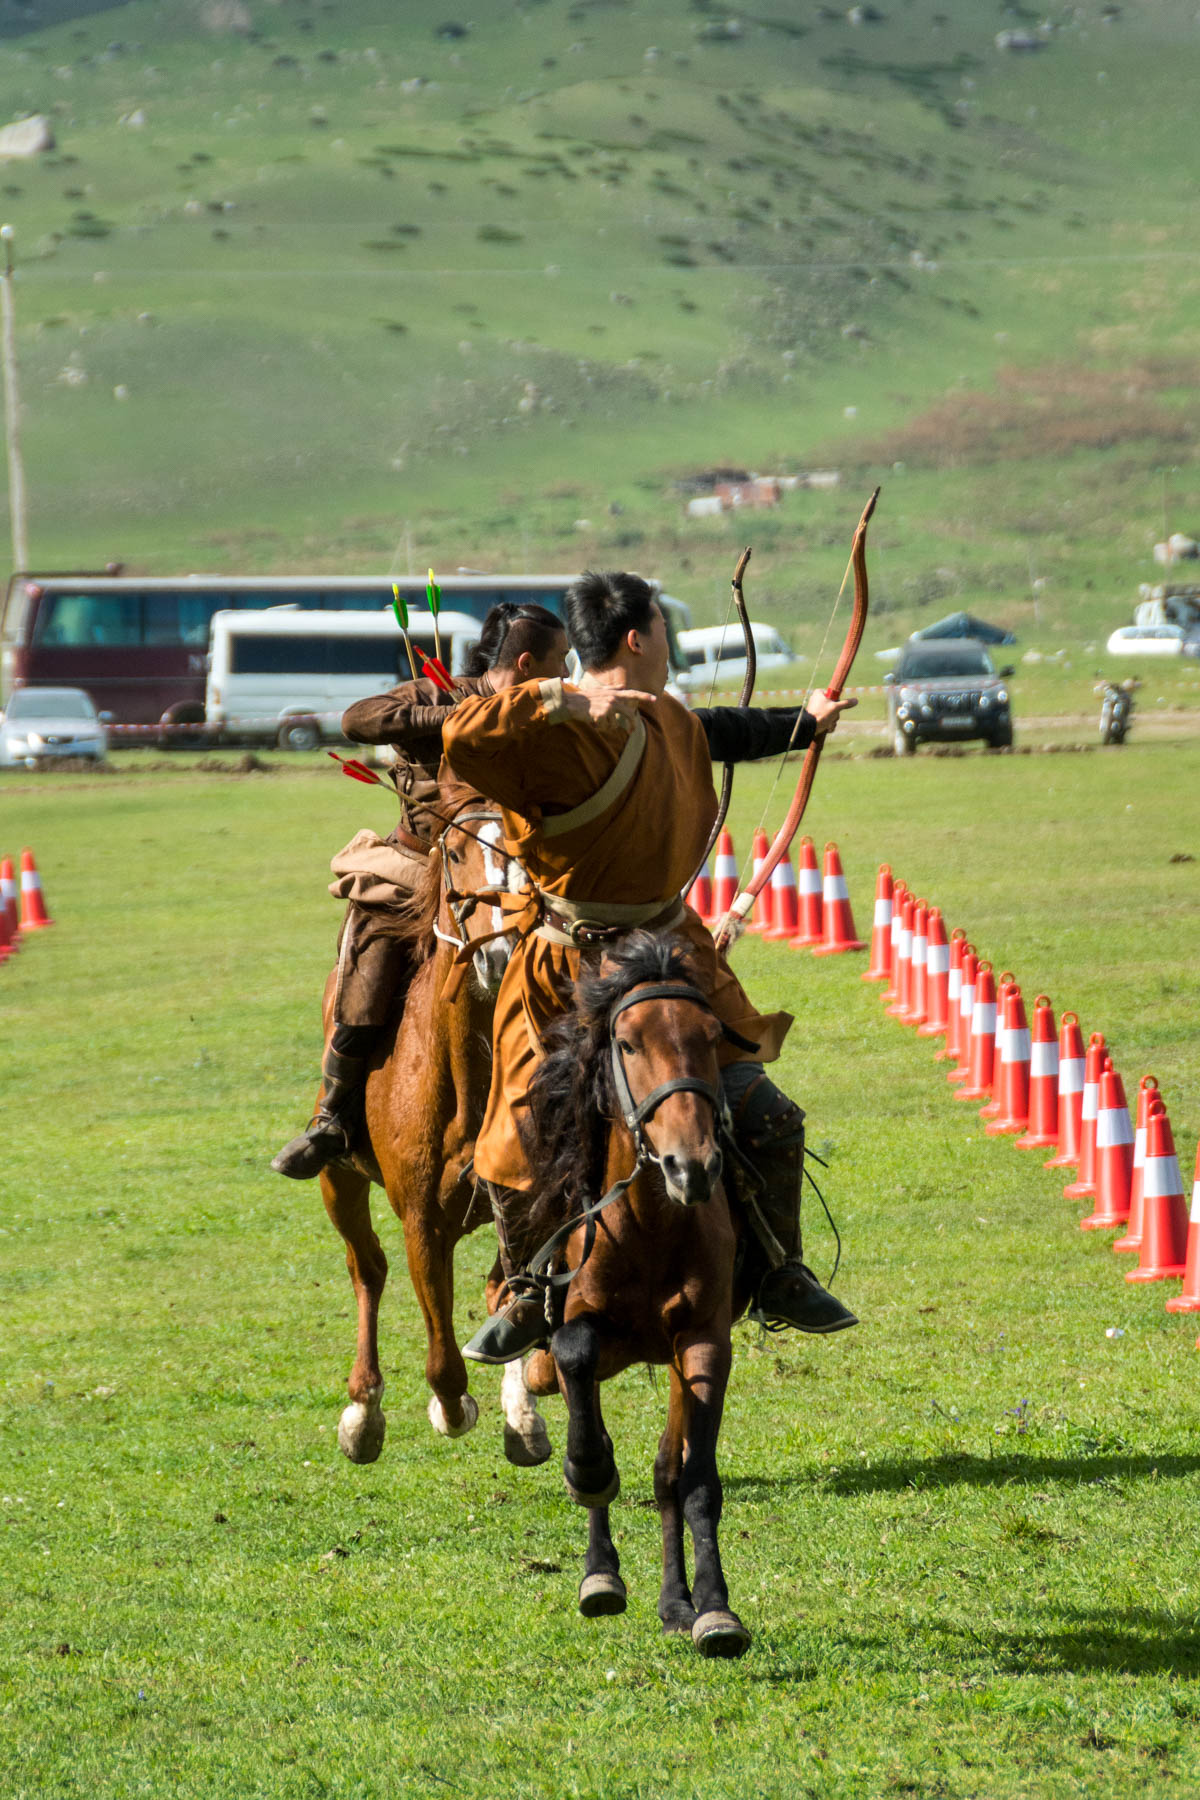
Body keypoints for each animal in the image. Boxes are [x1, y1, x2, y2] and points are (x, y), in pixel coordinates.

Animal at [314, 802, 550, 1476]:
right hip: (337, 1179)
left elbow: (514, 1297)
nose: (497, 952)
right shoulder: (421, 1219)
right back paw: (362, 1412)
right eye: (456, 855)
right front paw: (452, 1411)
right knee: (366, 1268)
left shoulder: (532, 1203)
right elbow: (444, 1363)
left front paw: (523, 1415)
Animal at [521, 936, 755, 1648]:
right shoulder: (580, 1328)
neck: (651, 1225)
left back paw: (676, 1602)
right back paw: (601, 1574)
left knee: (667, 1473)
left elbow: (695, 1479)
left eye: (711, 1037)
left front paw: (715, 1608)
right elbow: (575, 1362)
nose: (692, 1165)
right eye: (626, 1043)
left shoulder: (704, 1343)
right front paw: (589, 1475)